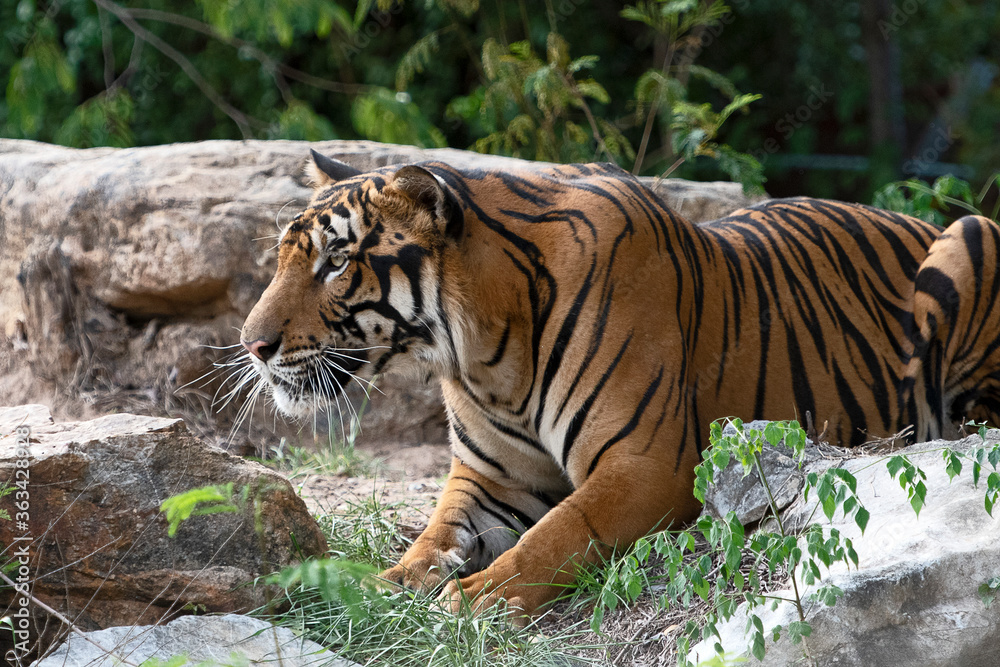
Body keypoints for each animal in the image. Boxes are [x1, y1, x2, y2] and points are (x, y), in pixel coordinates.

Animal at [240, 149, 1000, 619]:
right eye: (284, 256)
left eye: (338, 261)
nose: (252, 344)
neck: (483, 355)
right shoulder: (490, 478)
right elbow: (432, 537)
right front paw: (383, 583)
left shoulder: (647, 464)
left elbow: (557, 535)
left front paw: (475, 601)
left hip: (971, 230)